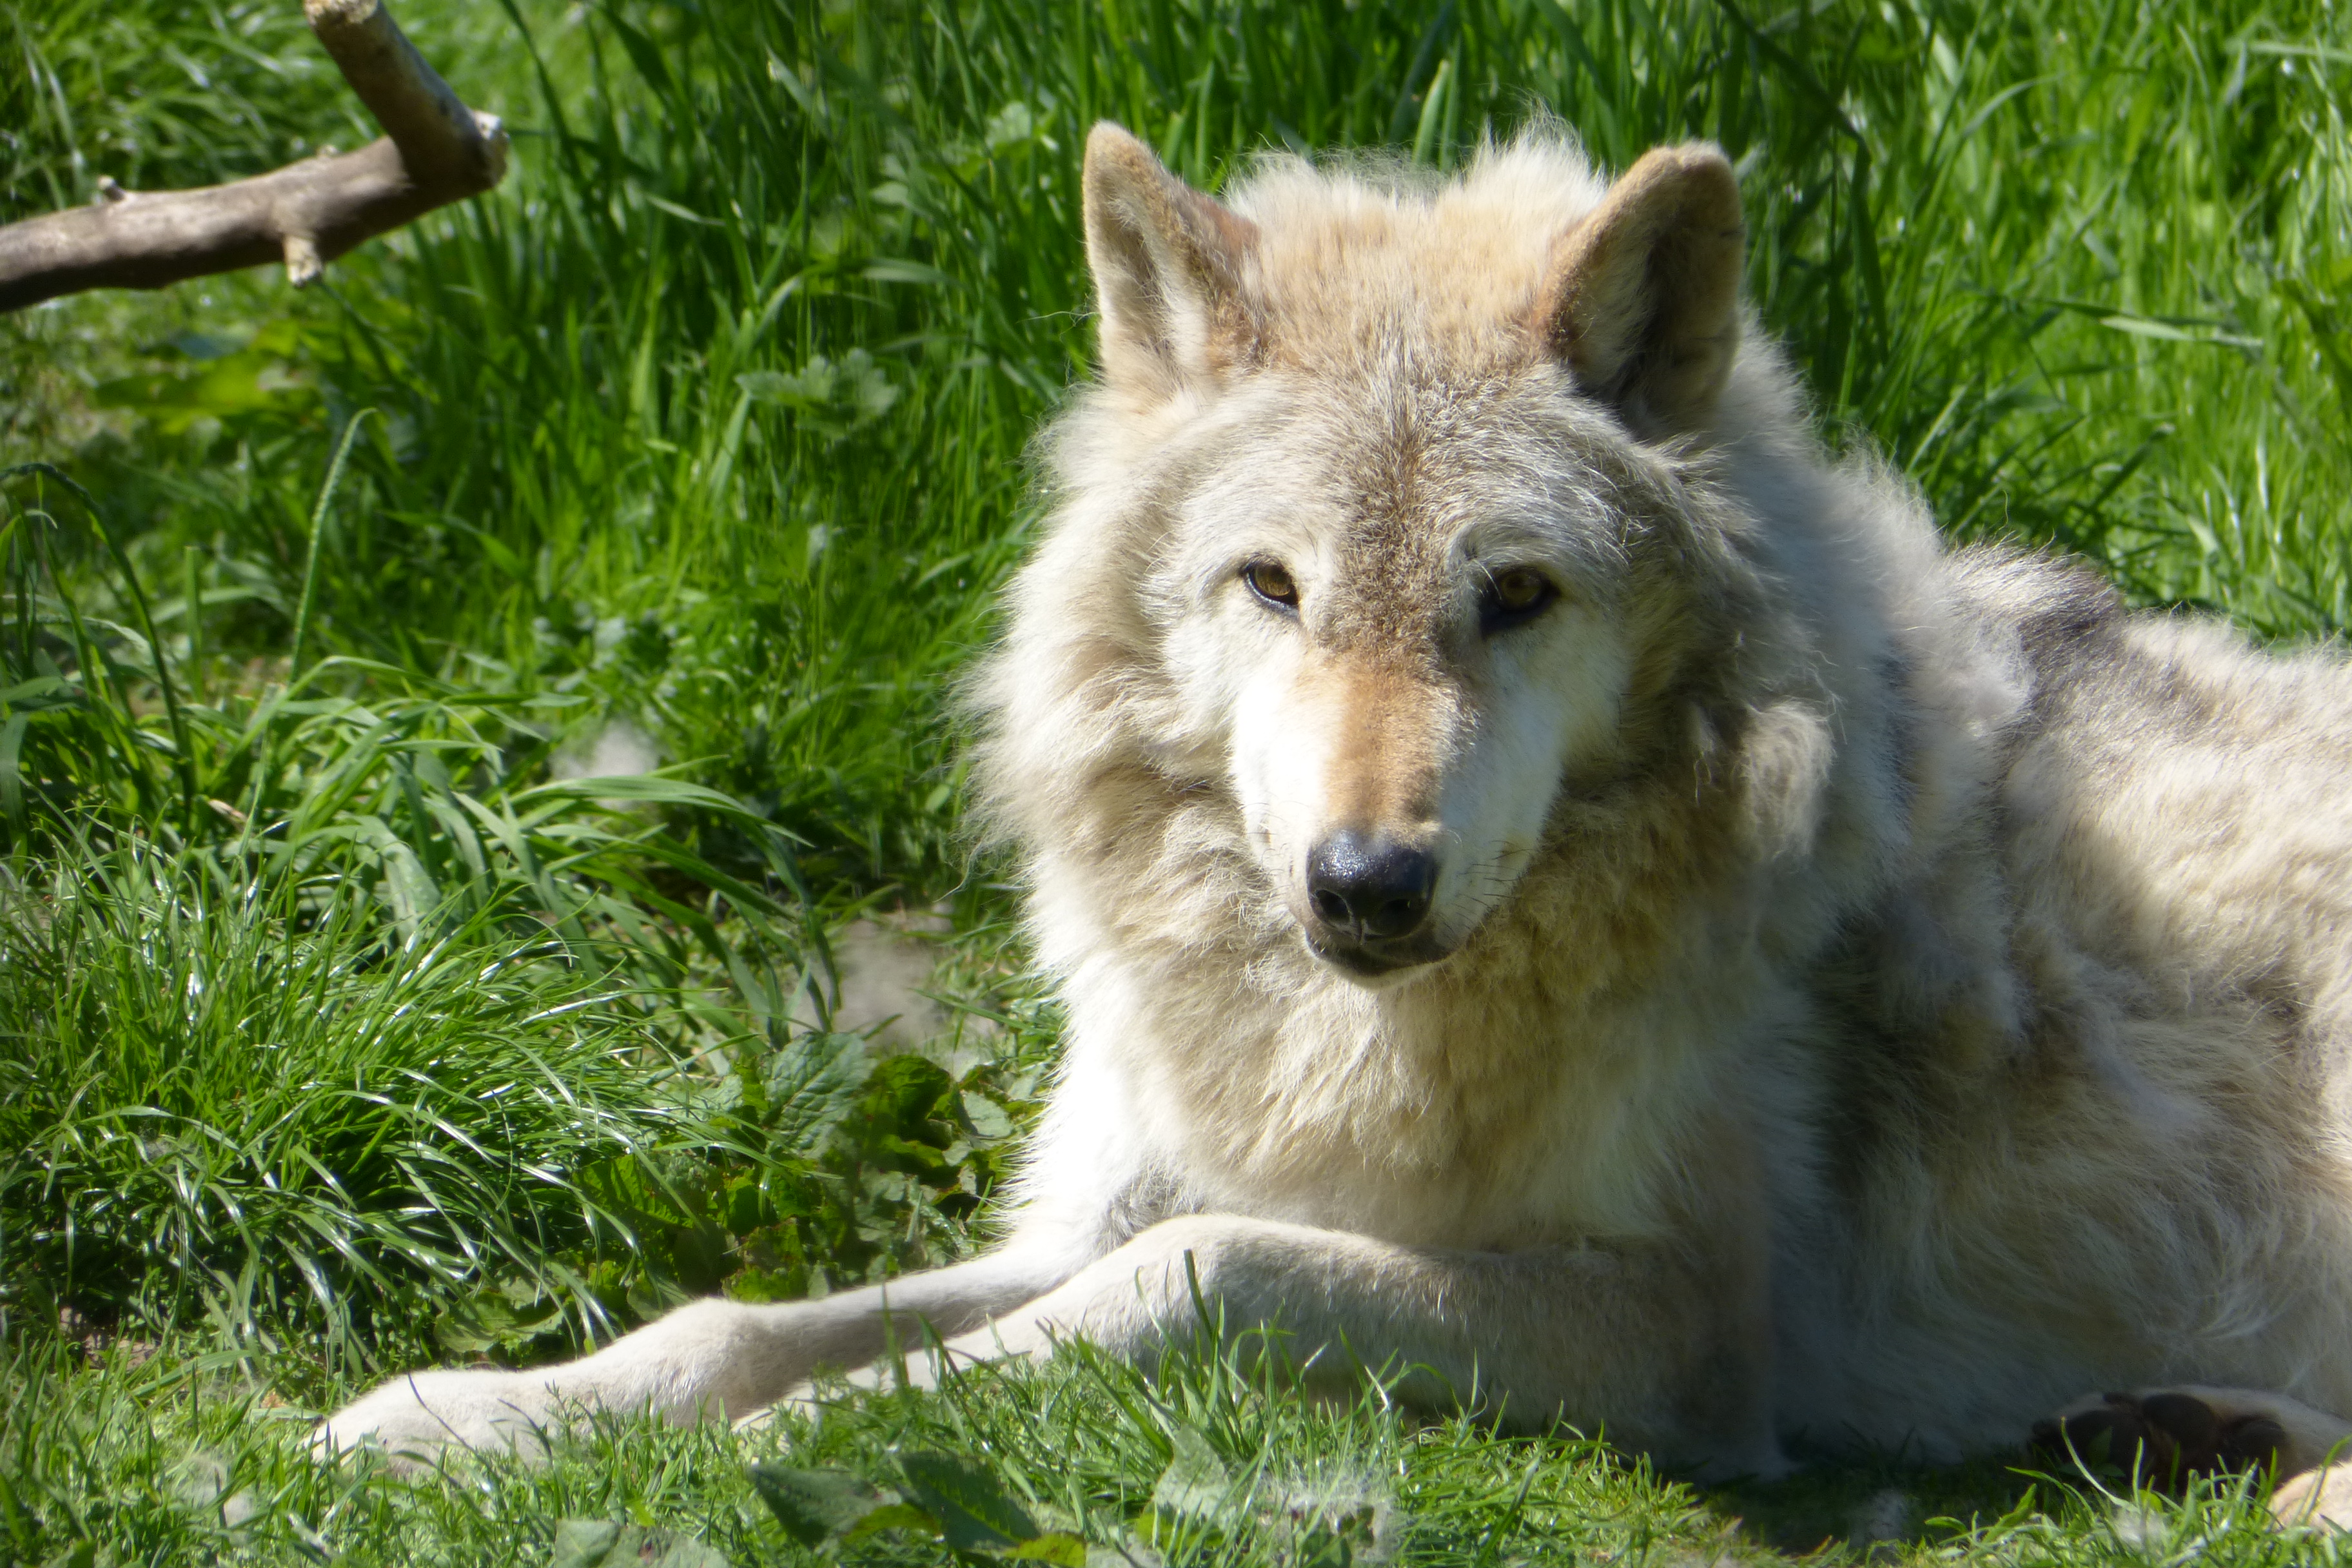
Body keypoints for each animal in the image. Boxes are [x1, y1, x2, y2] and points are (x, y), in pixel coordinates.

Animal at [323, 121, 2352, 1523]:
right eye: (1272, 588)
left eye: (1515, 596)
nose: (1367, 881)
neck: (1362, 1038)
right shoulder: (1114, 1193)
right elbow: (740, 1318)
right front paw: (479, 1415)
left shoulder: (1691, 1328)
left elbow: (1192, 1271)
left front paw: (826, 1430)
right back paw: (2183, 1431)